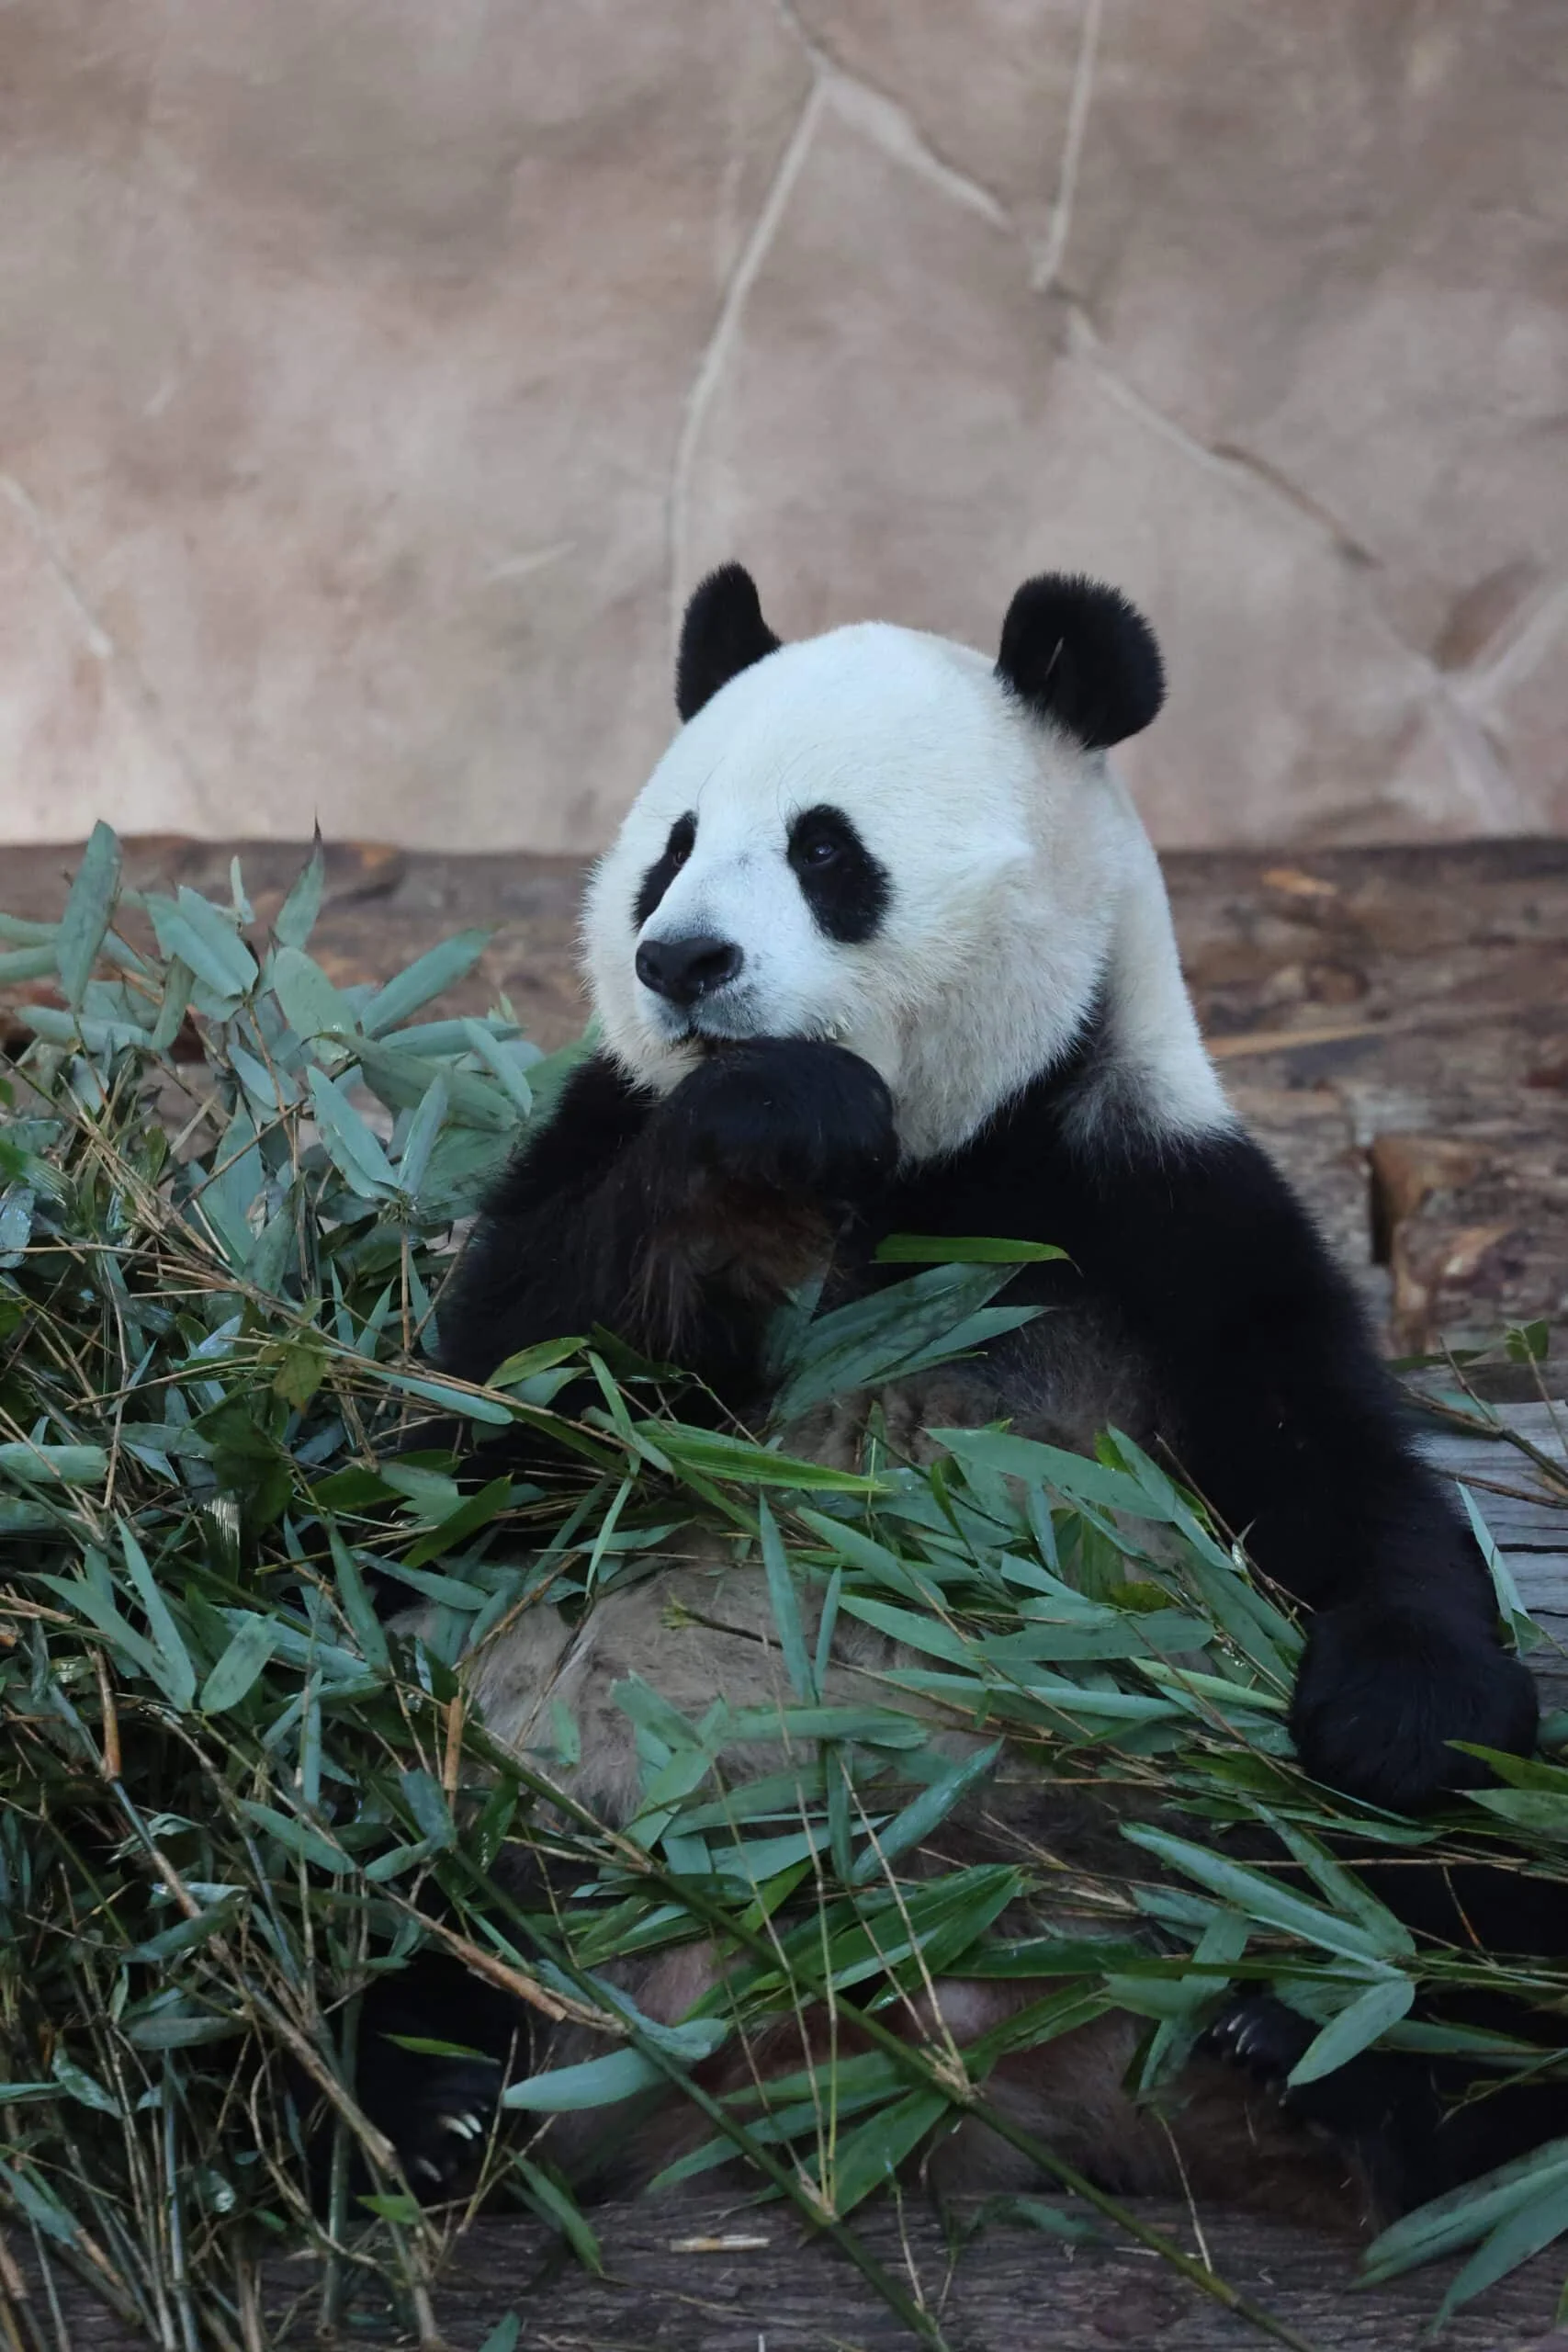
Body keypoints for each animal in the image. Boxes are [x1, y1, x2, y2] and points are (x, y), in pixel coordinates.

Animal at [369, 564, 1551, 2228]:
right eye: (671, 848)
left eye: (823, 850)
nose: (679, 963)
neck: (932, 1170)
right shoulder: (597, 1143)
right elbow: (497, 1426)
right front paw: (766, 1119)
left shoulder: (1153, 1196)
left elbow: (1339, 1476)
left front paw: (1395, 1714)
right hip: (494, 1784)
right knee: (354, 1809)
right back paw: (426, 2093)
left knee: (1479, 1885)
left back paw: (1343, 2059)